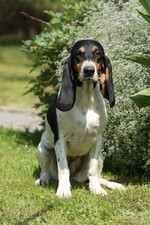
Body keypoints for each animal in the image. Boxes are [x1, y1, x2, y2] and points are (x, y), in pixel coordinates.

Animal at [35, 39, 125, 198]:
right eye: (79, 54)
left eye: (97, 53)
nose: (89, 70)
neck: (86, 100)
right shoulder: (60, 140)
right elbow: (63, 168)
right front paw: (63, 190)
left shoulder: (97, 139)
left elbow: (93, 171)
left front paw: (96, 189)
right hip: (42, 149)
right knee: (46, 171)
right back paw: (43, 180)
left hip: (100, 157)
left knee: (96, 176)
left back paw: (112, 184)